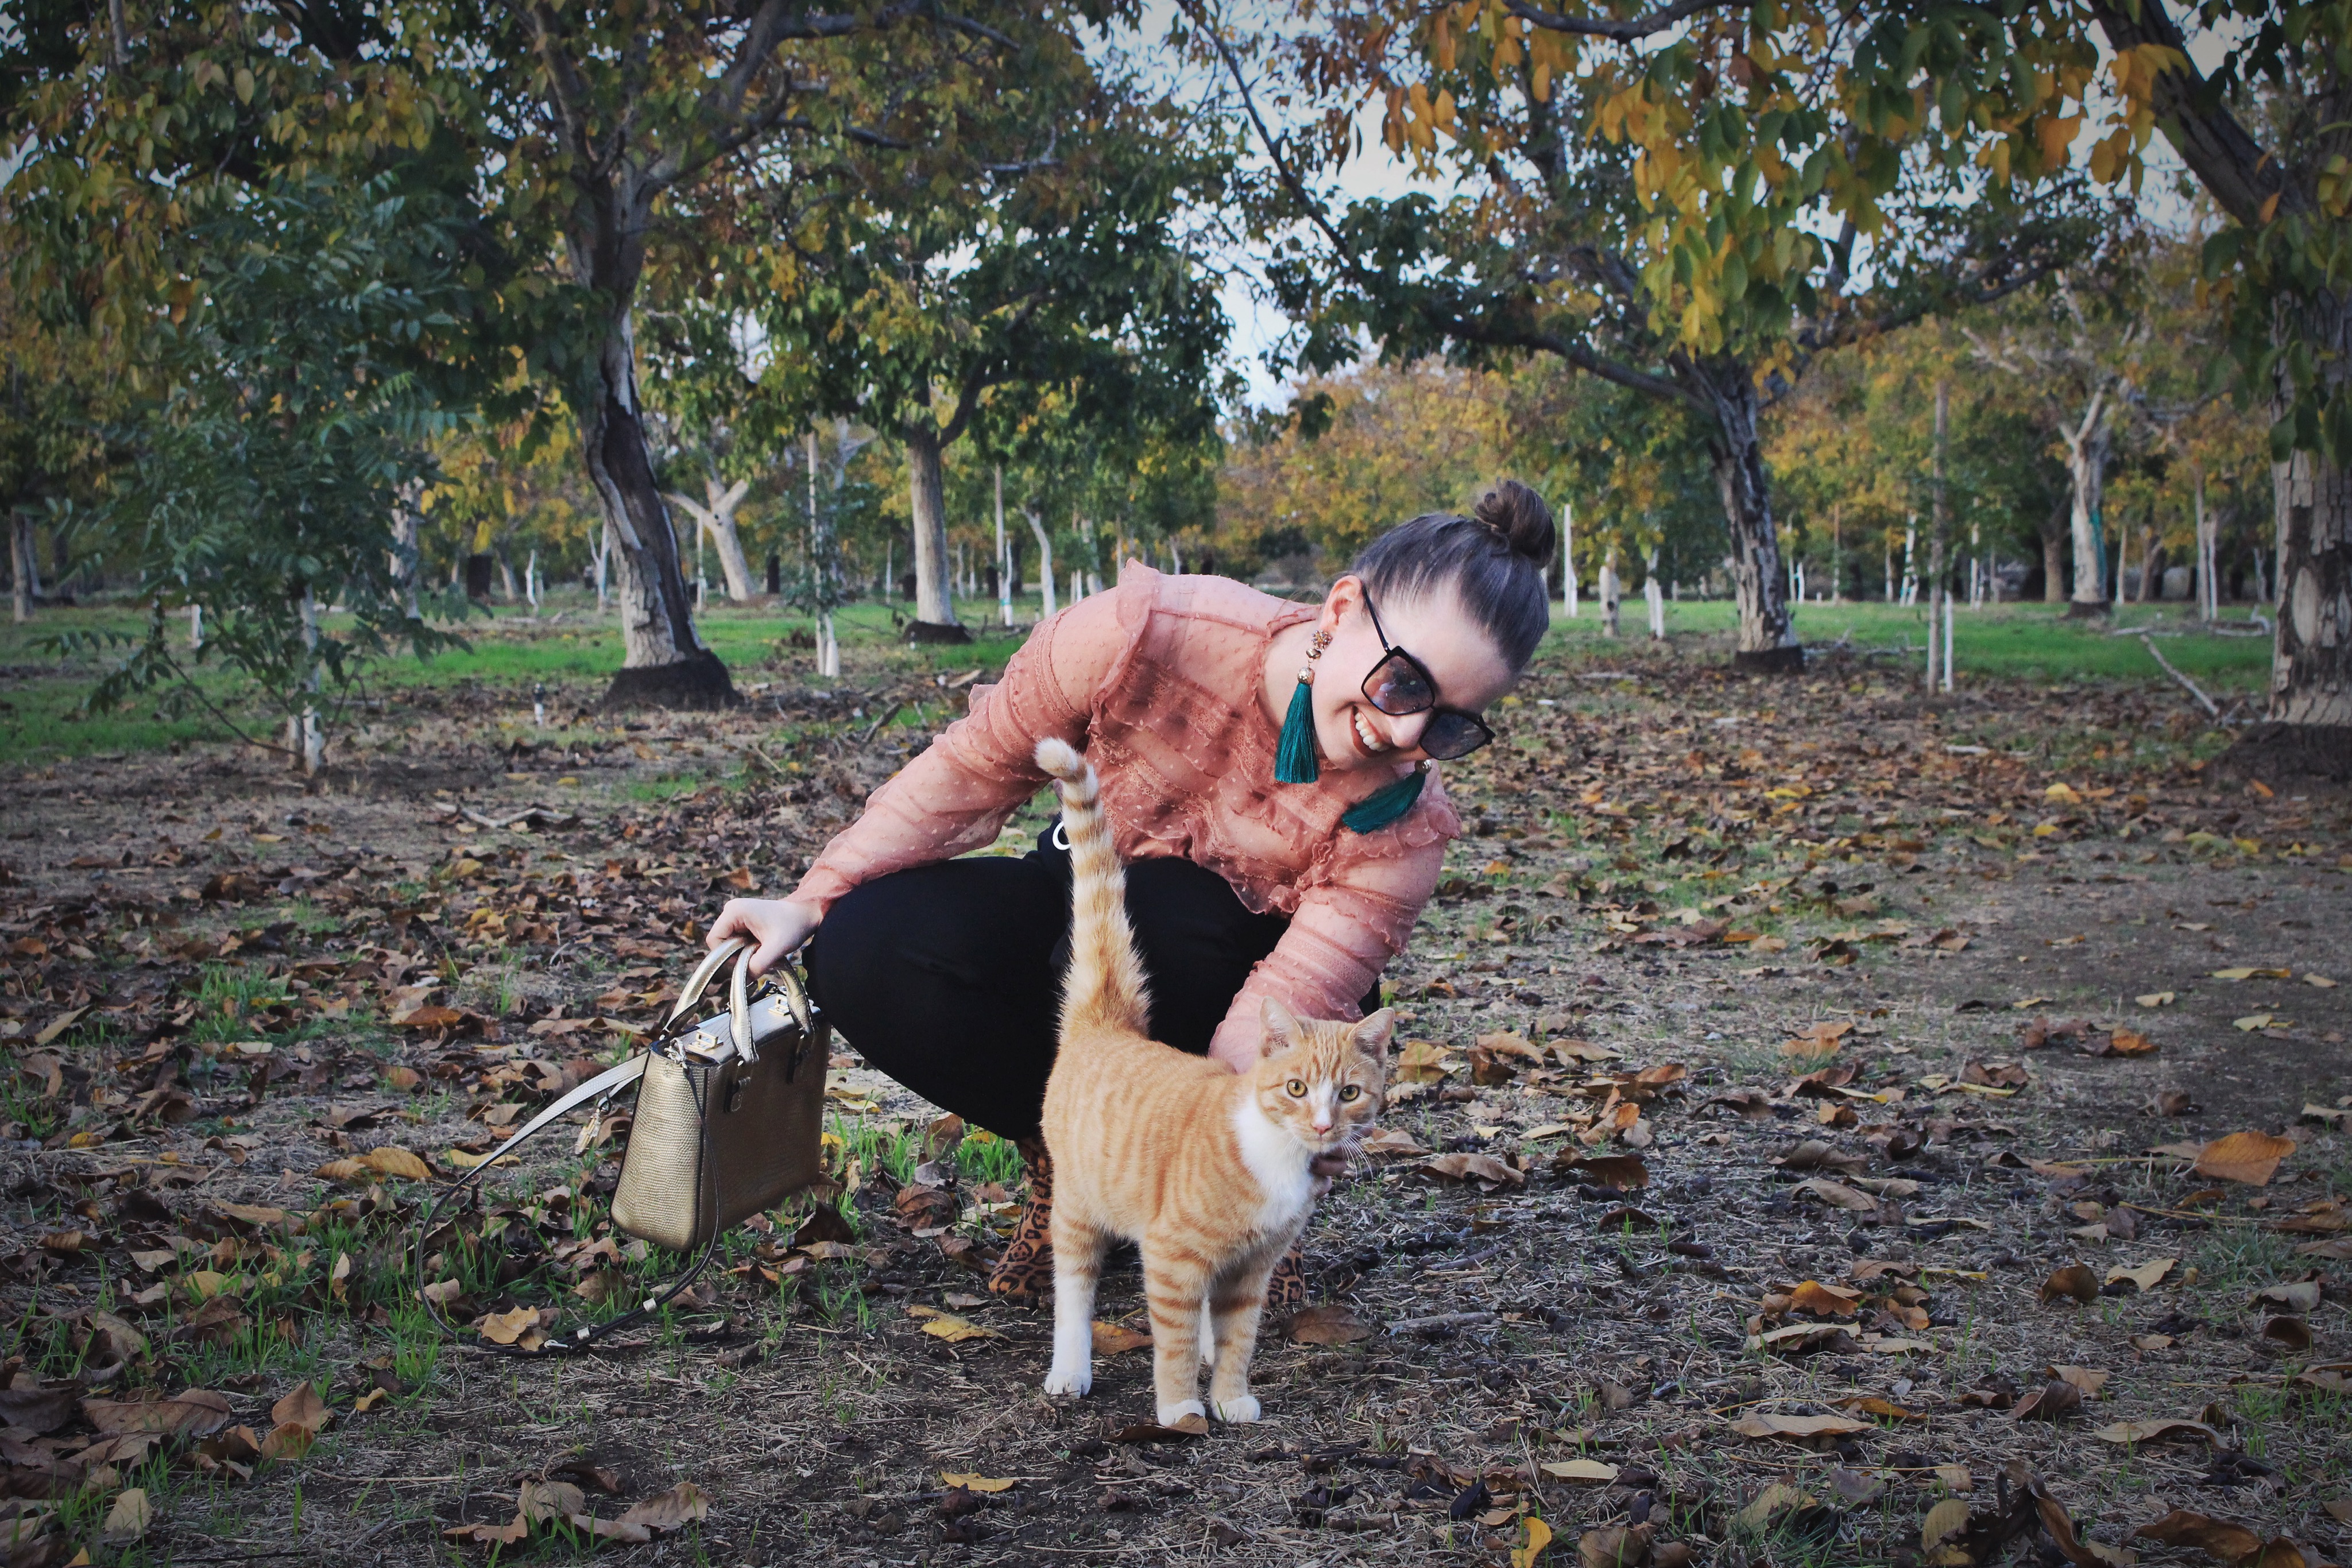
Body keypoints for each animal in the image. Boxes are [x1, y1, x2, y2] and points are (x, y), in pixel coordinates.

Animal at [1035, 738, 1392, 1420]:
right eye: (1297, 1089)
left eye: (1350, 1093)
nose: (1323, 1124)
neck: (1277, 1156)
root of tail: (1108, 1024)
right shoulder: (1171, 1255)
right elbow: (1170, 1341)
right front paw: (1181, 1412)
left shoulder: (1253, 1268)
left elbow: (1239, 1337)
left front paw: (1230, 1398)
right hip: (1078, 1203)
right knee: (1073, 1287)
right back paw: (1070, 1368)